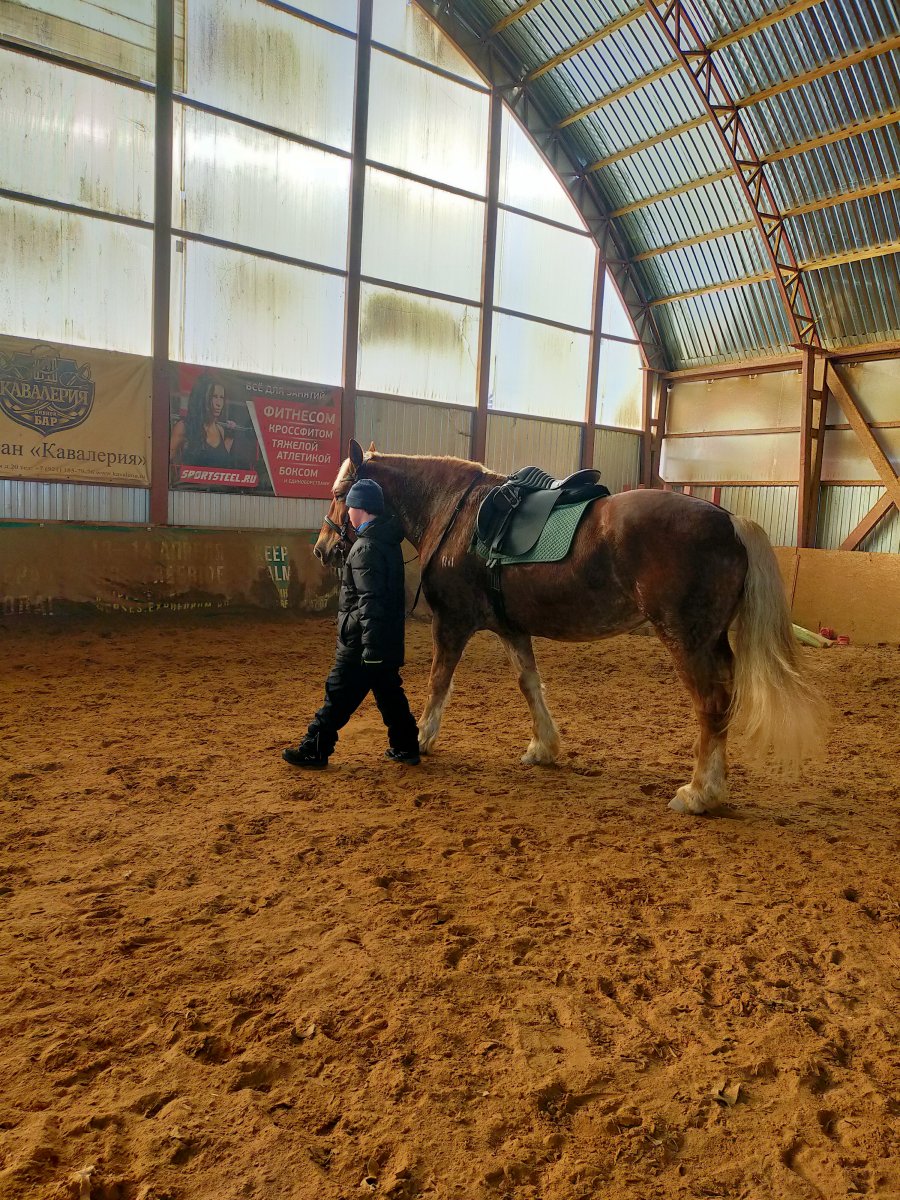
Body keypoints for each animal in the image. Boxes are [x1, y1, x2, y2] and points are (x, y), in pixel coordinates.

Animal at [313, 440, 825, 815]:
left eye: (339, 495)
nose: (322, 548)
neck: (454, 515)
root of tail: (730, 520)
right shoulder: (511, 628)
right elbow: (529, 683)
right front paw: (544, 746)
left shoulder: (452, 622)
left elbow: (439, 682)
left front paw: (419, 739)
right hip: (713, 642)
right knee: (724, 705)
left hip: (688, 641)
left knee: (711, 706)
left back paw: (699, 793)